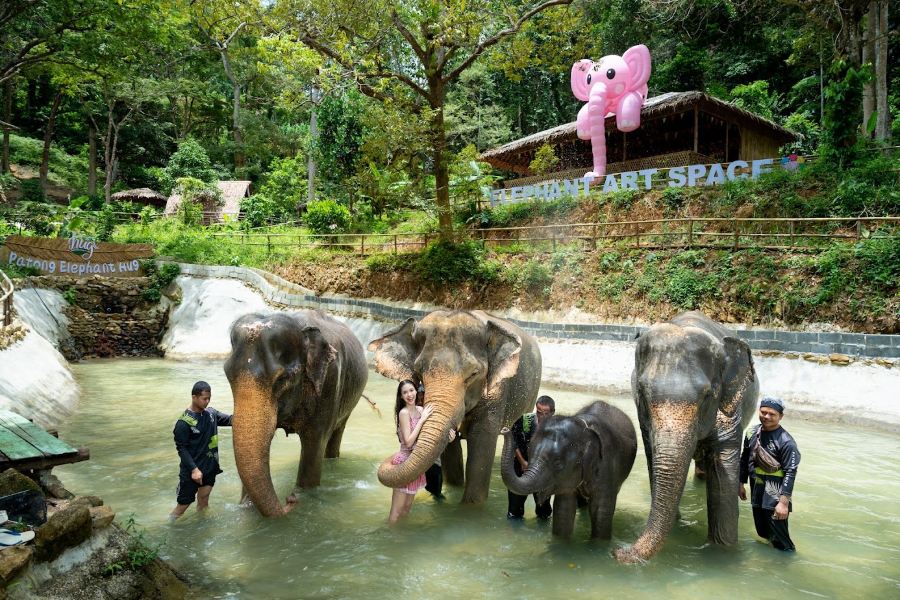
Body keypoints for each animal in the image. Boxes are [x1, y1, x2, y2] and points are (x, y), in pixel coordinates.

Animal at [223, 310, 368, 517]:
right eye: (227, 374)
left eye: (282, 379)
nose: (289, 499)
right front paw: (246, 506)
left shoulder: (330, 381)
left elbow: (314, 445)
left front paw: (304, 495)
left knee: (336, 433)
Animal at [368, 310, 542, 504]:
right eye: (419, 371)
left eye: (474, 373)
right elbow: (450, 449)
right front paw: (454, 488)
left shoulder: (497, 393)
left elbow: (481, 441)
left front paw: (471, 506)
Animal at [500, 400, 637, 539]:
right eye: (529, 452)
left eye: (557, 463)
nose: (505, 429)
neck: (582, 426)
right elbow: (564, 509)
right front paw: (560, 542)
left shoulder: (607, 464)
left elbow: (601, 510)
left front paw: (598, 543)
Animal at [571, 44, 652, 179]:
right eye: (588, 79)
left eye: (611, 73)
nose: (589, 175)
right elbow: (584, 111)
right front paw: (584, 133)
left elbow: (629, 102)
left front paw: (626, 125)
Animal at [615, 311, 758, 563]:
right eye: (641, 392)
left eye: (708, 395)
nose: (618, 552)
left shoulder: (730, 407)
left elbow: (723, 472)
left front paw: (723, 552)